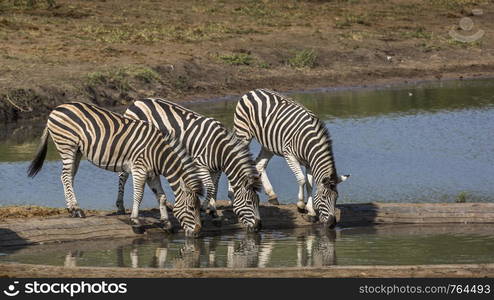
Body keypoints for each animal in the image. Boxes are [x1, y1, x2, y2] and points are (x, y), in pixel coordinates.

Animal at [26, 102, 205, 237]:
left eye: (198, 207)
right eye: (191, 208)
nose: (198, 232)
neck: (158, 153)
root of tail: (56, 108)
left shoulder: (152, 174)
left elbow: (161, 196)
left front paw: (166, 223)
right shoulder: (140, 169)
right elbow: (138, 195)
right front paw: (136, 222)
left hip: (76, 150)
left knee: (67, 177)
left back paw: (72, 209)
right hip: (67, 145)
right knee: (65, 176)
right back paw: (77, 210)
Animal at [118, 98, 262, 232]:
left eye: (258, 201)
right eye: (249, 202)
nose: (258, 227)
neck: (219, 149)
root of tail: (137, 102)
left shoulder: (216, 170)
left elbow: (214, 188)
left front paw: (214, 213)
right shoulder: (200, 166)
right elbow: (210, 188)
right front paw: (204, 209)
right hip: (129, 149)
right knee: (123, 176)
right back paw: (120, 206)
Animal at [233, 88, 350, 229]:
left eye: (336, 198)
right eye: (323, 198)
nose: (332, 224)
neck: (308, 142)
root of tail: (253, 90)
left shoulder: (309, 163)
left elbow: (309, 185)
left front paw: (311, 212)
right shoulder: (289, 155)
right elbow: (302, 180)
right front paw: (300, 205)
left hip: (268, 145)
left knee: (259, 164)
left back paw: (272, 195)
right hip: (243, 133)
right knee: (236, 154)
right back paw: (231, 193)